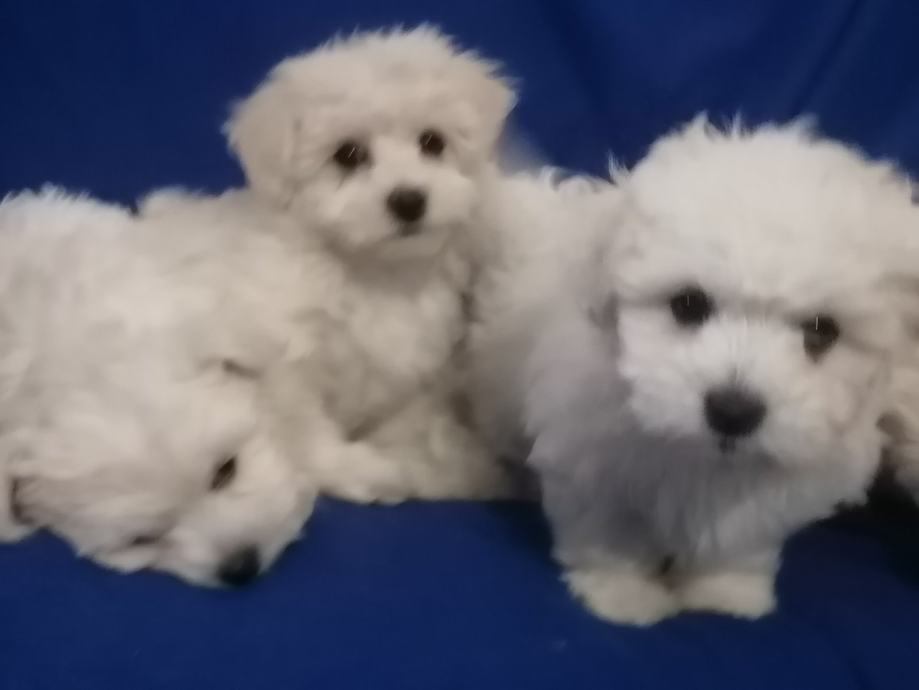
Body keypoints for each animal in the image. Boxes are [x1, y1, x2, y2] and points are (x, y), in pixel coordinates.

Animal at [183, 25, 522, 502]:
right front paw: (360, 471)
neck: (370, 272)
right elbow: (307, 429)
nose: (409, 200)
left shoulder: (415, 375)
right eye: (347, 154)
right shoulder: (289, 365)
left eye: (432, 142)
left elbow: (411, 420)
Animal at [471, 118, 919, 624]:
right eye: (688, 304)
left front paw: (726, 592)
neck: (703, 456)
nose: (733, 410)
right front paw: (622, 594)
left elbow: (742, 539)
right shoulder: (591, 458)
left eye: (822, 331)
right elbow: (609, 532)